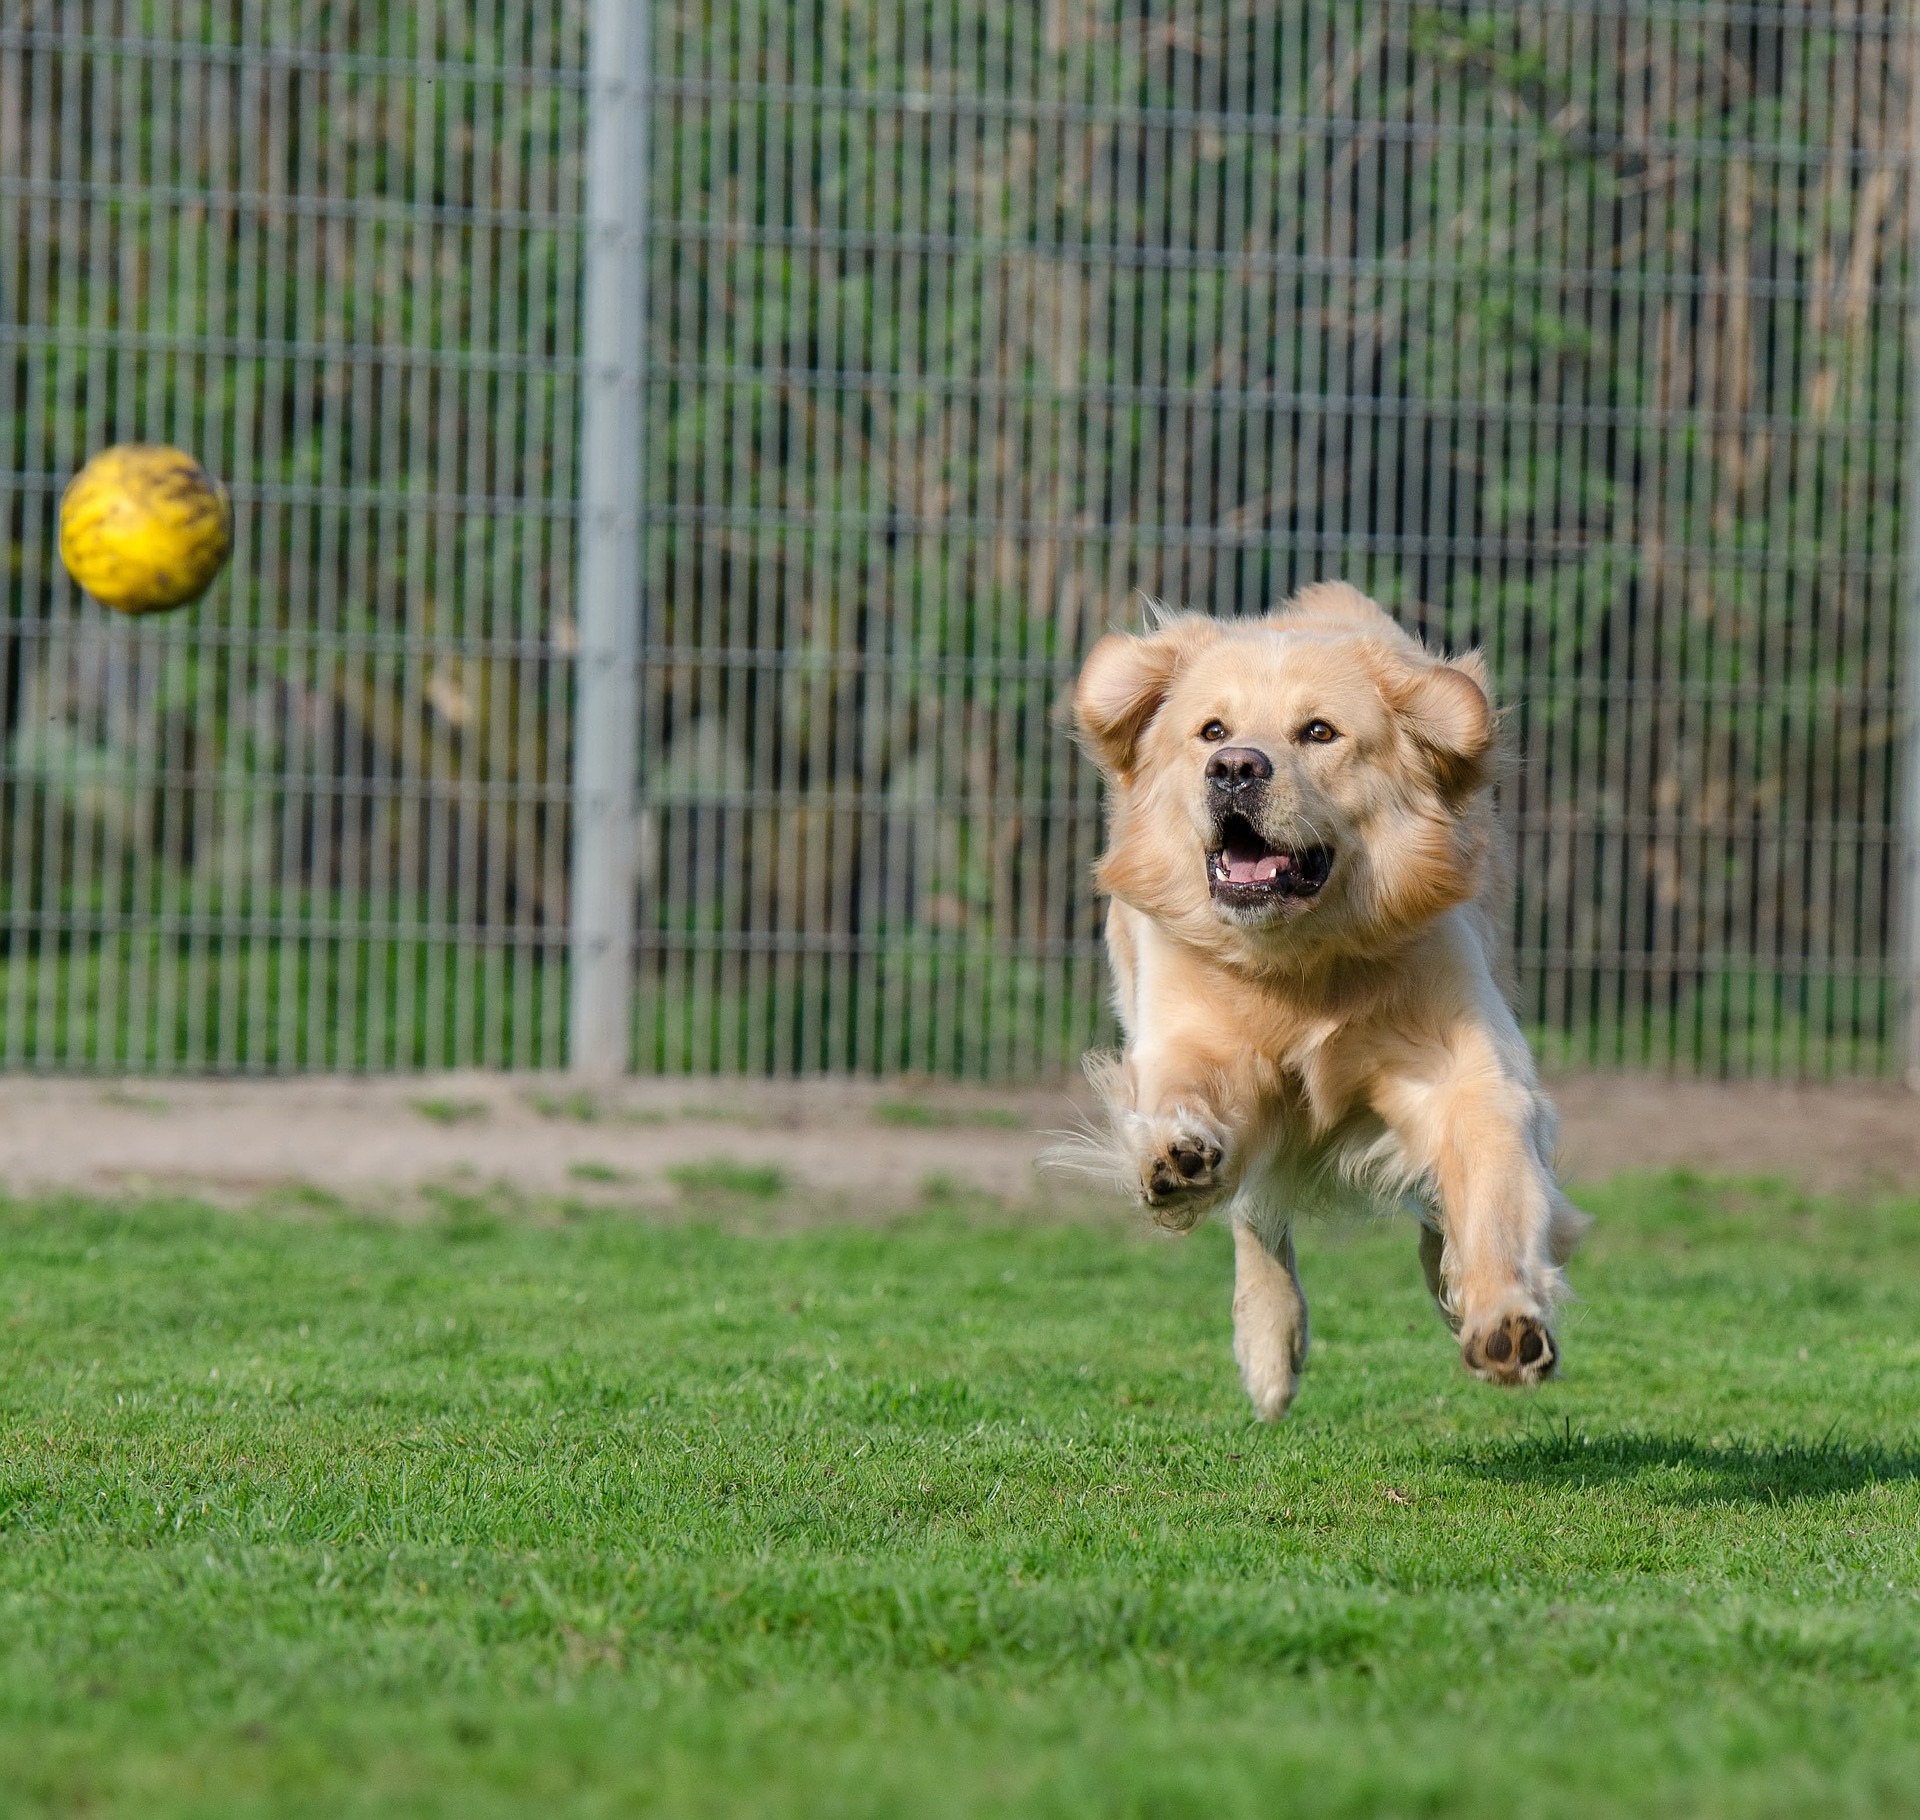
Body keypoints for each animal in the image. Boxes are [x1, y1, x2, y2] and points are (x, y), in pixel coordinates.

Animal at [1059, 583, 1582, 1420]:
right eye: (1212, 730)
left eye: (1318, 732)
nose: (1234, 768)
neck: (1299, 964)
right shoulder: (1184, 1030)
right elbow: (1185, 1103)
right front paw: (1173, 1157)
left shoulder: (1469, 1068)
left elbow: (1494, 1187)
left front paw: (1505, 1319)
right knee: (1256, 1212)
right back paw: (1269, 1345)